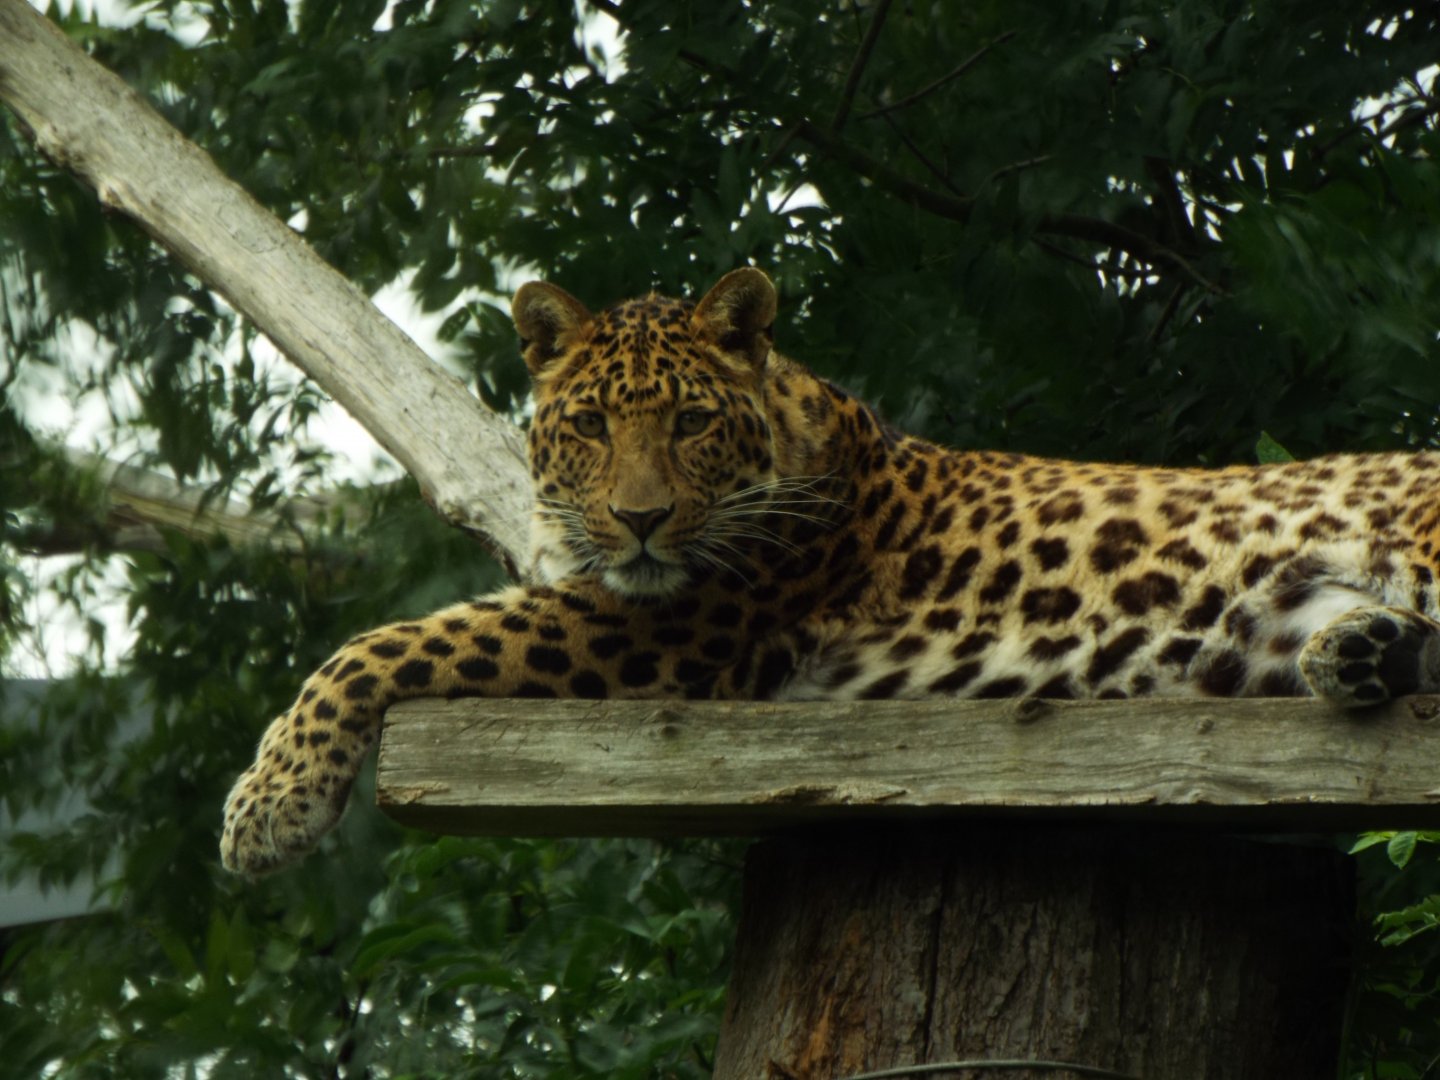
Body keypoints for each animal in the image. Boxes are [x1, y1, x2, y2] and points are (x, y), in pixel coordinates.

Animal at [222, 266, 1440, 874]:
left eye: (691, 422)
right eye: (591, 426)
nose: (641, 521)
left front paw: (268, 806)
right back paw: (1363, 651)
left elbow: (380, 644)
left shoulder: (653, 626)